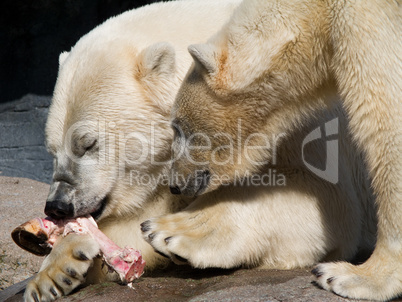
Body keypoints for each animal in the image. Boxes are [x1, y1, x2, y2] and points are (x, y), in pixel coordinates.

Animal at [164, 0, 402, 300]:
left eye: (178, 127)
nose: (173, 183)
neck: (317, 14)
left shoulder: (366, 21)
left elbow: (386, 123)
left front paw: (352, 275)